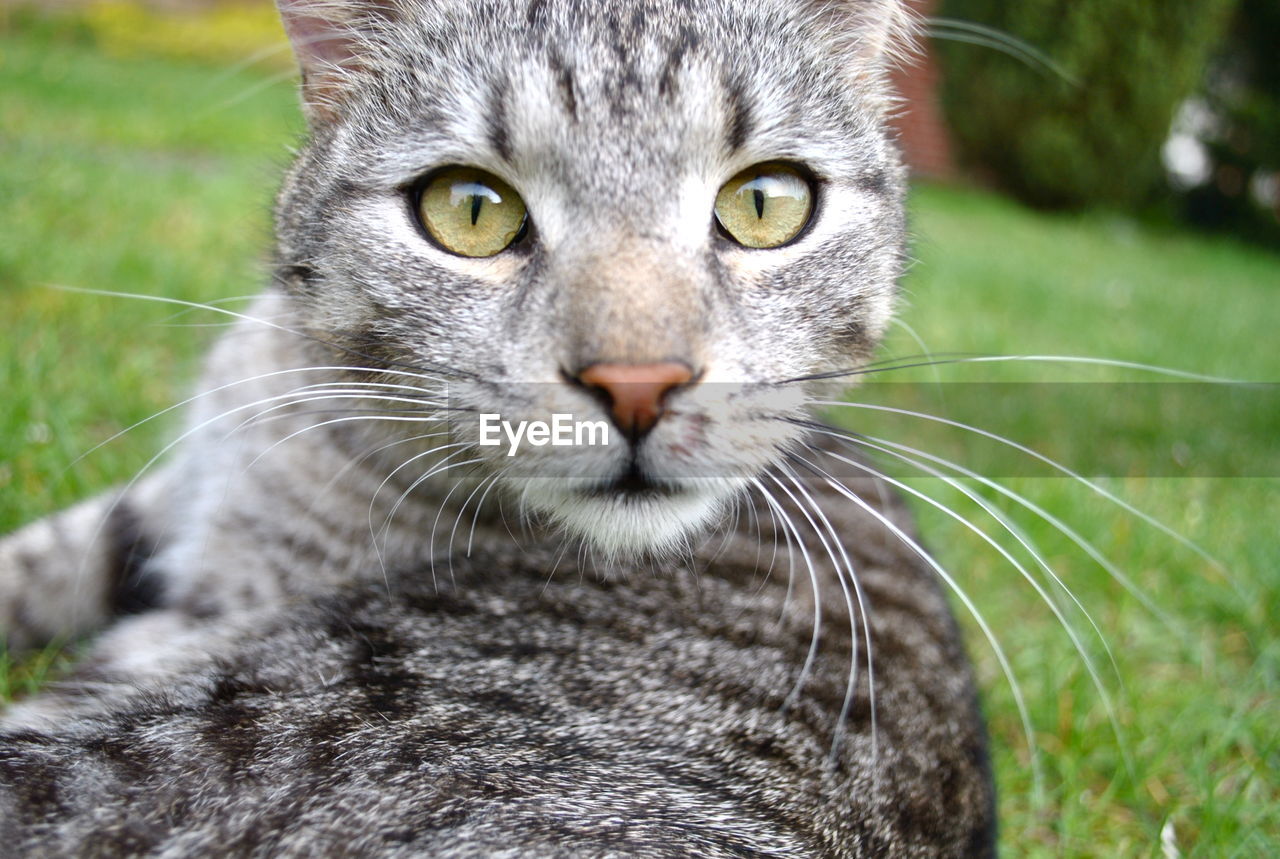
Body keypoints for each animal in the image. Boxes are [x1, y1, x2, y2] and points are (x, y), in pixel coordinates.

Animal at [0, 0, 993, 855]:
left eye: (766, 203)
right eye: (470, 208)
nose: (638, 383)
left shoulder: (208, 618)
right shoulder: (155, 505)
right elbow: (40, 557)